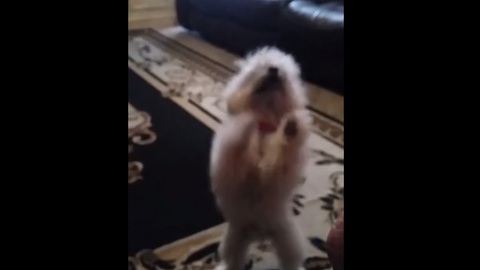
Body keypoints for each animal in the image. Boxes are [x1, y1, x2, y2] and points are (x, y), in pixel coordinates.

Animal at [210, 47, 312, 270]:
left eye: (284, 71)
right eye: (261, 66)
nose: (273, 69)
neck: (264, 124)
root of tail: (259, 235)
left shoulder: (275, 174)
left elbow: (276, 161)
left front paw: (292, 126)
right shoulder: (231, 167)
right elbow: (238, 138)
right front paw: (245, 123)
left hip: (288, 239)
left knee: (292, 262)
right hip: (233, 240)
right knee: (232, 261)